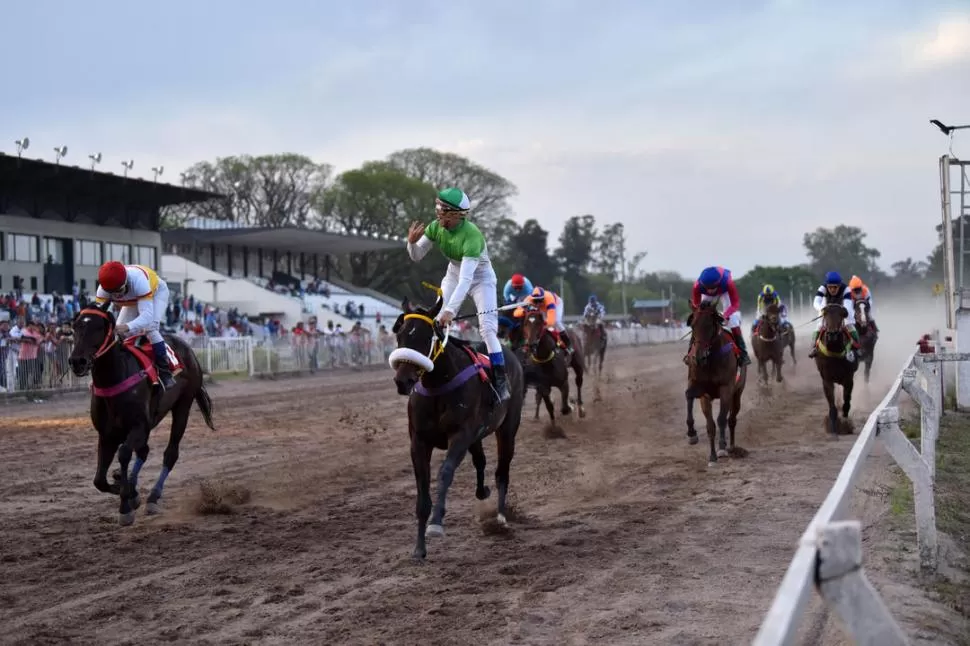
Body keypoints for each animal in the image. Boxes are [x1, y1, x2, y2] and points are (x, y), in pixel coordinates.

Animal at [67, 306, 215, 528]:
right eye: (75, 327)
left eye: (99, 327)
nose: (77, 361)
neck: (114, 379)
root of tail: (189, 351)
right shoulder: (107, 434)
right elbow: (99, 480)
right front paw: (127, 489)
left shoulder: (138, 426)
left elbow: (124, 454)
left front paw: (126, 505)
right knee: (144, 451)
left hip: (183, 406)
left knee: (170, 454)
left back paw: (153, 497)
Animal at [390, 294, 520, 560]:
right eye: (401, 335)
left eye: (425, 337)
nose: (402, 381)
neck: (437, 385)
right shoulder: (419, 441)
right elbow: (422, 493)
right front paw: (419, 549)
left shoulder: (460, 435)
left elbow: (445, 472)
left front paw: (436, 523)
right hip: (477, 435)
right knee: (480, 461)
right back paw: (483, 492)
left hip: (507, 429)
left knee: (502, 471)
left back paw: (501, 517)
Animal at [684, 302, 744, 466]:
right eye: (692, 325)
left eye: (709, 325)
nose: (698, 357)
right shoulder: (703, 391)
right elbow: (710, 425)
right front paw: (711, 455)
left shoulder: (726, 388)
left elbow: (721, 419)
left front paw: (722, 448)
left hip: (737, 392)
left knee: (732, 419)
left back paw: (732, 447)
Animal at [812, 302, 860, 436]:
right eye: (826, 314)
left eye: (841, 314)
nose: (832, 335)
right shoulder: (827, 379)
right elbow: (832, 406)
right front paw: (834, 428)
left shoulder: (849, 379)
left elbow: (846, 403)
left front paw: (845, 424)